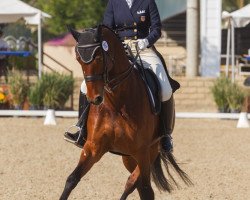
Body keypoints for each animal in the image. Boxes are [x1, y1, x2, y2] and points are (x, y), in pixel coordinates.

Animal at [59, 25, 191, 200]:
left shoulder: (142, 151)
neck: (116, 103)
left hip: (150, 151)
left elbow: (141, 186)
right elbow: (72, 179)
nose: (95, 99)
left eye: (99, 57)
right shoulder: (94, 147)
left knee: (138, 185)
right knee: (138, 185)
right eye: (78, 59)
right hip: (128, 157)